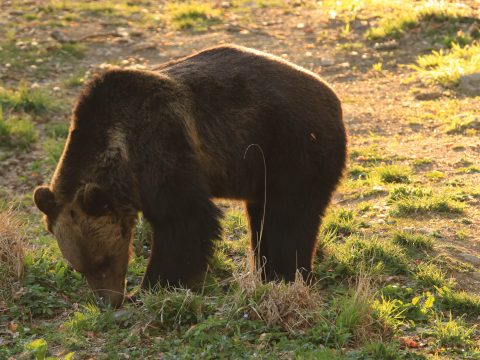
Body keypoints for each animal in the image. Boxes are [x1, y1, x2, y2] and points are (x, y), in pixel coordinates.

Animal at [35, 44, 346, 306]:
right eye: (78, 267)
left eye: (103, 260)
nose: (108, 301)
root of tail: (334, 97)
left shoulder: (159, 142)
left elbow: (185, 219)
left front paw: (149, 288)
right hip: (263, 168)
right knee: (262, 216)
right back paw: (266, 272)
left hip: (292, 146)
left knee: (290, 215)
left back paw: (286, 276)